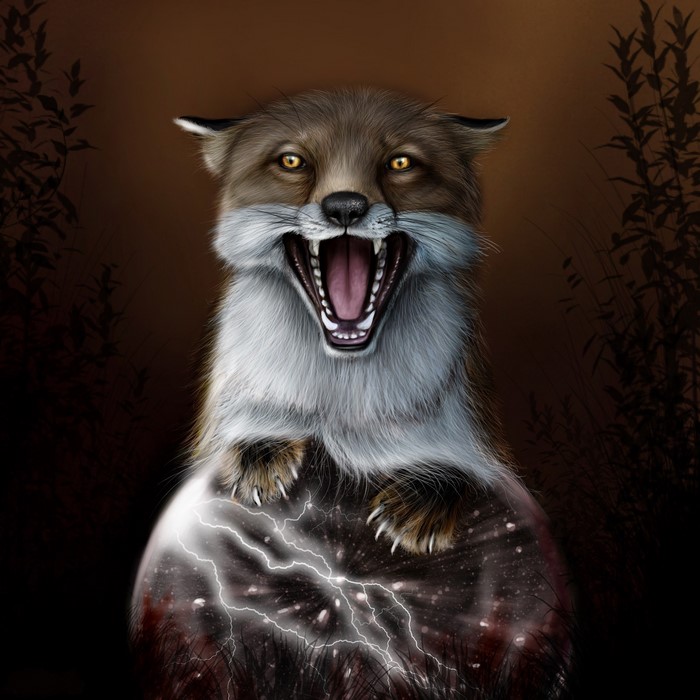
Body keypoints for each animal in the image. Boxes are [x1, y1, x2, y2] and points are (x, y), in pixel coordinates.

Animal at [175, 86, 518, 555]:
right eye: (292, 161)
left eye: (400, 162)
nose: (344, 207)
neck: (339, 397)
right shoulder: (228, 410)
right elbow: (241, 429)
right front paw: (259, 453)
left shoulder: (468, 434)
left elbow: (465, 465)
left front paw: (423, 497)